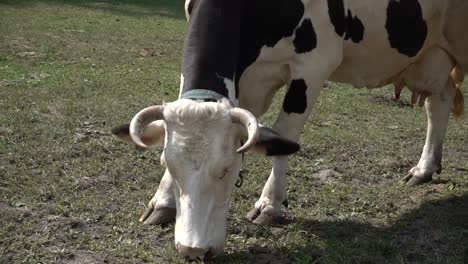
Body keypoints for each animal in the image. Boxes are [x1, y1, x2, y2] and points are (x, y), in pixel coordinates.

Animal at [111, 0, 466, 260]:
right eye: (167, 165)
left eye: (228, 170)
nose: (192, 250)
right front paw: (162, 202)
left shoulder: (314, 64)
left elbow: (286, 133)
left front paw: (270, 205)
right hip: (433, 54)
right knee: (440, 100)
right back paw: (424, 168)